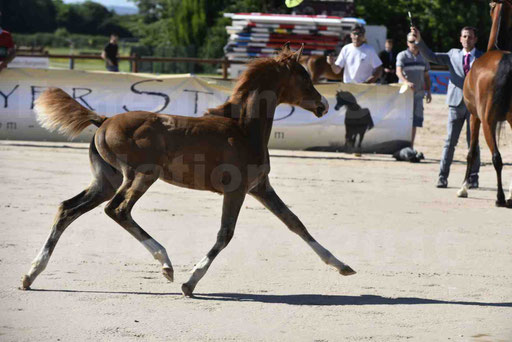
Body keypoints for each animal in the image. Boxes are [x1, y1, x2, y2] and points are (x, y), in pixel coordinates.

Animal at [456, 0, 512, 206]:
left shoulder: (475, 117)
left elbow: (471, 152)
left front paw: (463, 188)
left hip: (488, 122)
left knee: (497, 158)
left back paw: (500, 198)